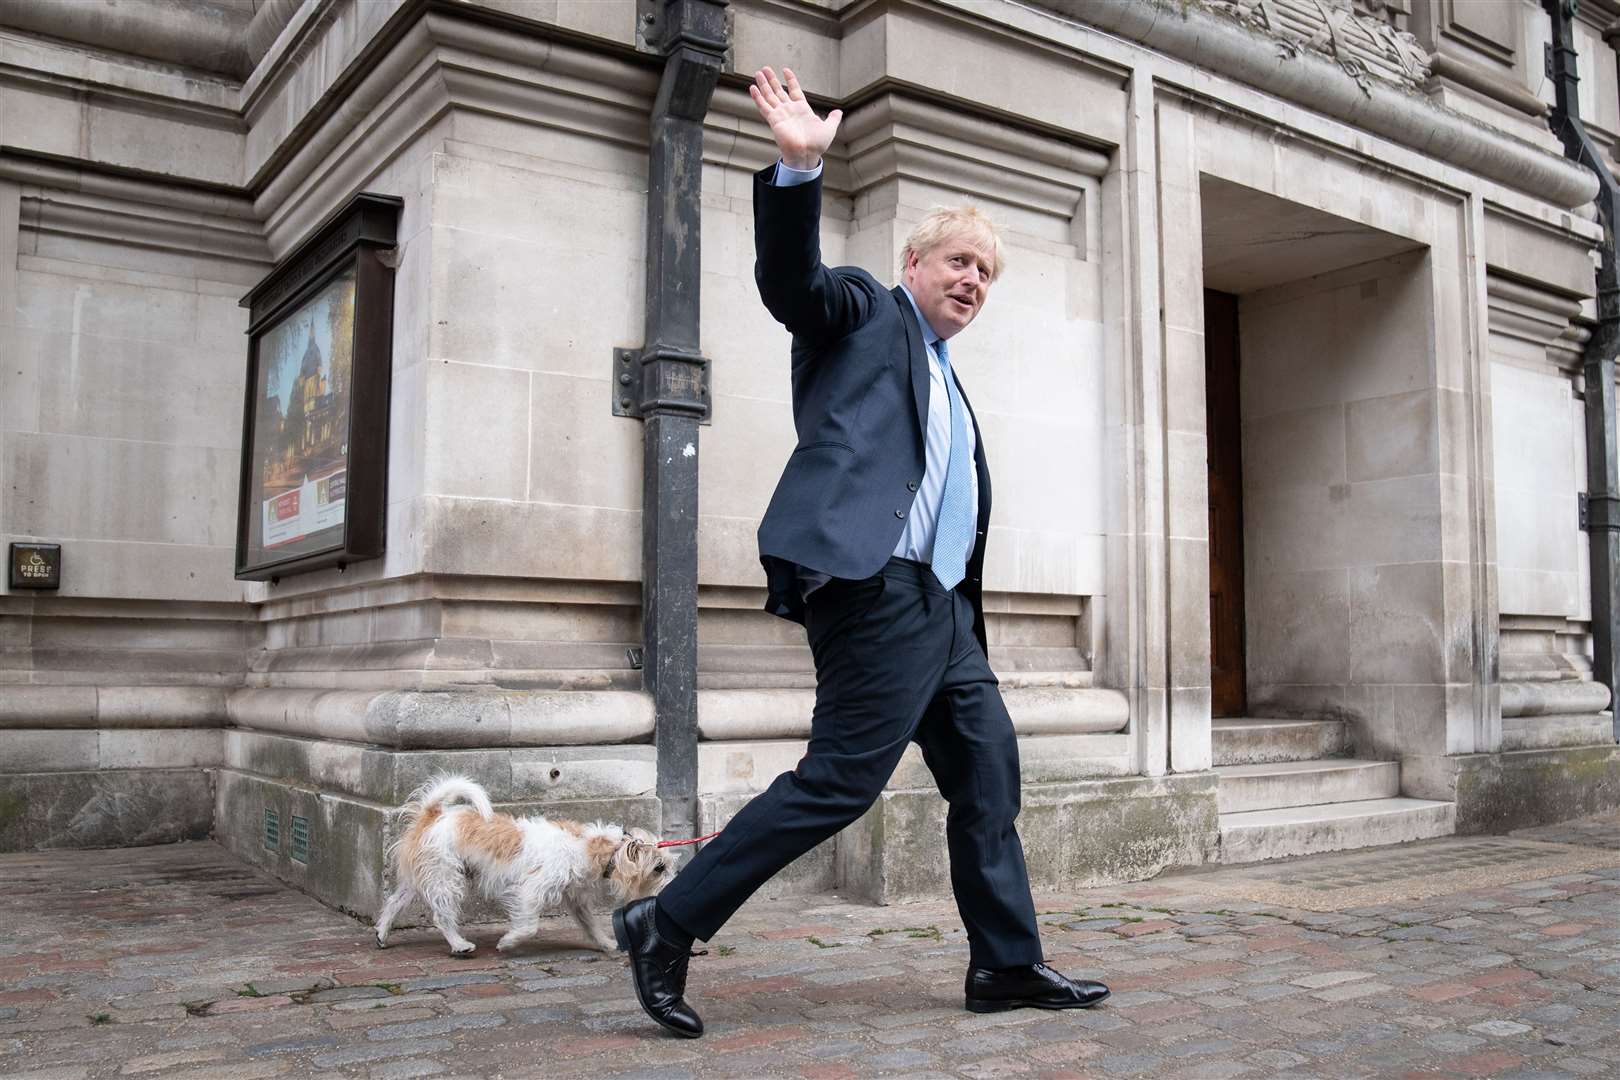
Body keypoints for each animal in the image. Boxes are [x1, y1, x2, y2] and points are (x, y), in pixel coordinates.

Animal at [372, 777, 670, 952]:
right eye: (660, 868)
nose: (668, 888)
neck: (591, 847)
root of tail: (432, 814)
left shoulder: (575, 898)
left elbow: (591, 926)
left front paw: (608, 944)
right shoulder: (531, 891)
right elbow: (529, 926)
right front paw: (508, 942)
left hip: (421, 876)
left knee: (393, 903)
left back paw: (382, 934)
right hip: (445, 877)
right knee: (441, 916)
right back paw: (459, 944)